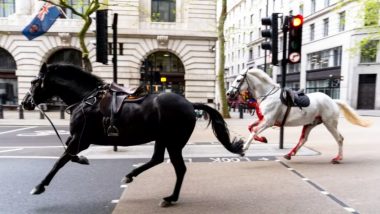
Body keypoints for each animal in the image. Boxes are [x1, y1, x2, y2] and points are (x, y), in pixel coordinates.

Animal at [21, 62, 243, 206]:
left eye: (33, 82)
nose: (24, 103)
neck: (86, 99)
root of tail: (189, 104)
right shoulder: (77, 139)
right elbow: (68, 155)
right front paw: (83, 160)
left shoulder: (81, 139)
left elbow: (60, 160)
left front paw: (39, 186)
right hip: (162, 139)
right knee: (157, 159)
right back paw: (131, 176)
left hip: (173, 142)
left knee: (179, 168)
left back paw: (170, 198)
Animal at [226, 68, 372, 164]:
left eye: (238, 80)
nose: (228, 94)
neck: (268, 95)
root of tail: (333, 100)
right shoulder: (263, 119)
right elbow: (251, 127)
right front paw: (262, 139)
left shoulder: (269, 121)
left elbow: (254, 130)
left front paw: (244, 148)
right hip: (310, 124)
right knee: (303, 139)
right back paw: (290, 154)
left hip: (329, 123)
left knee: (339, 139)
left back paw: (338, 158)